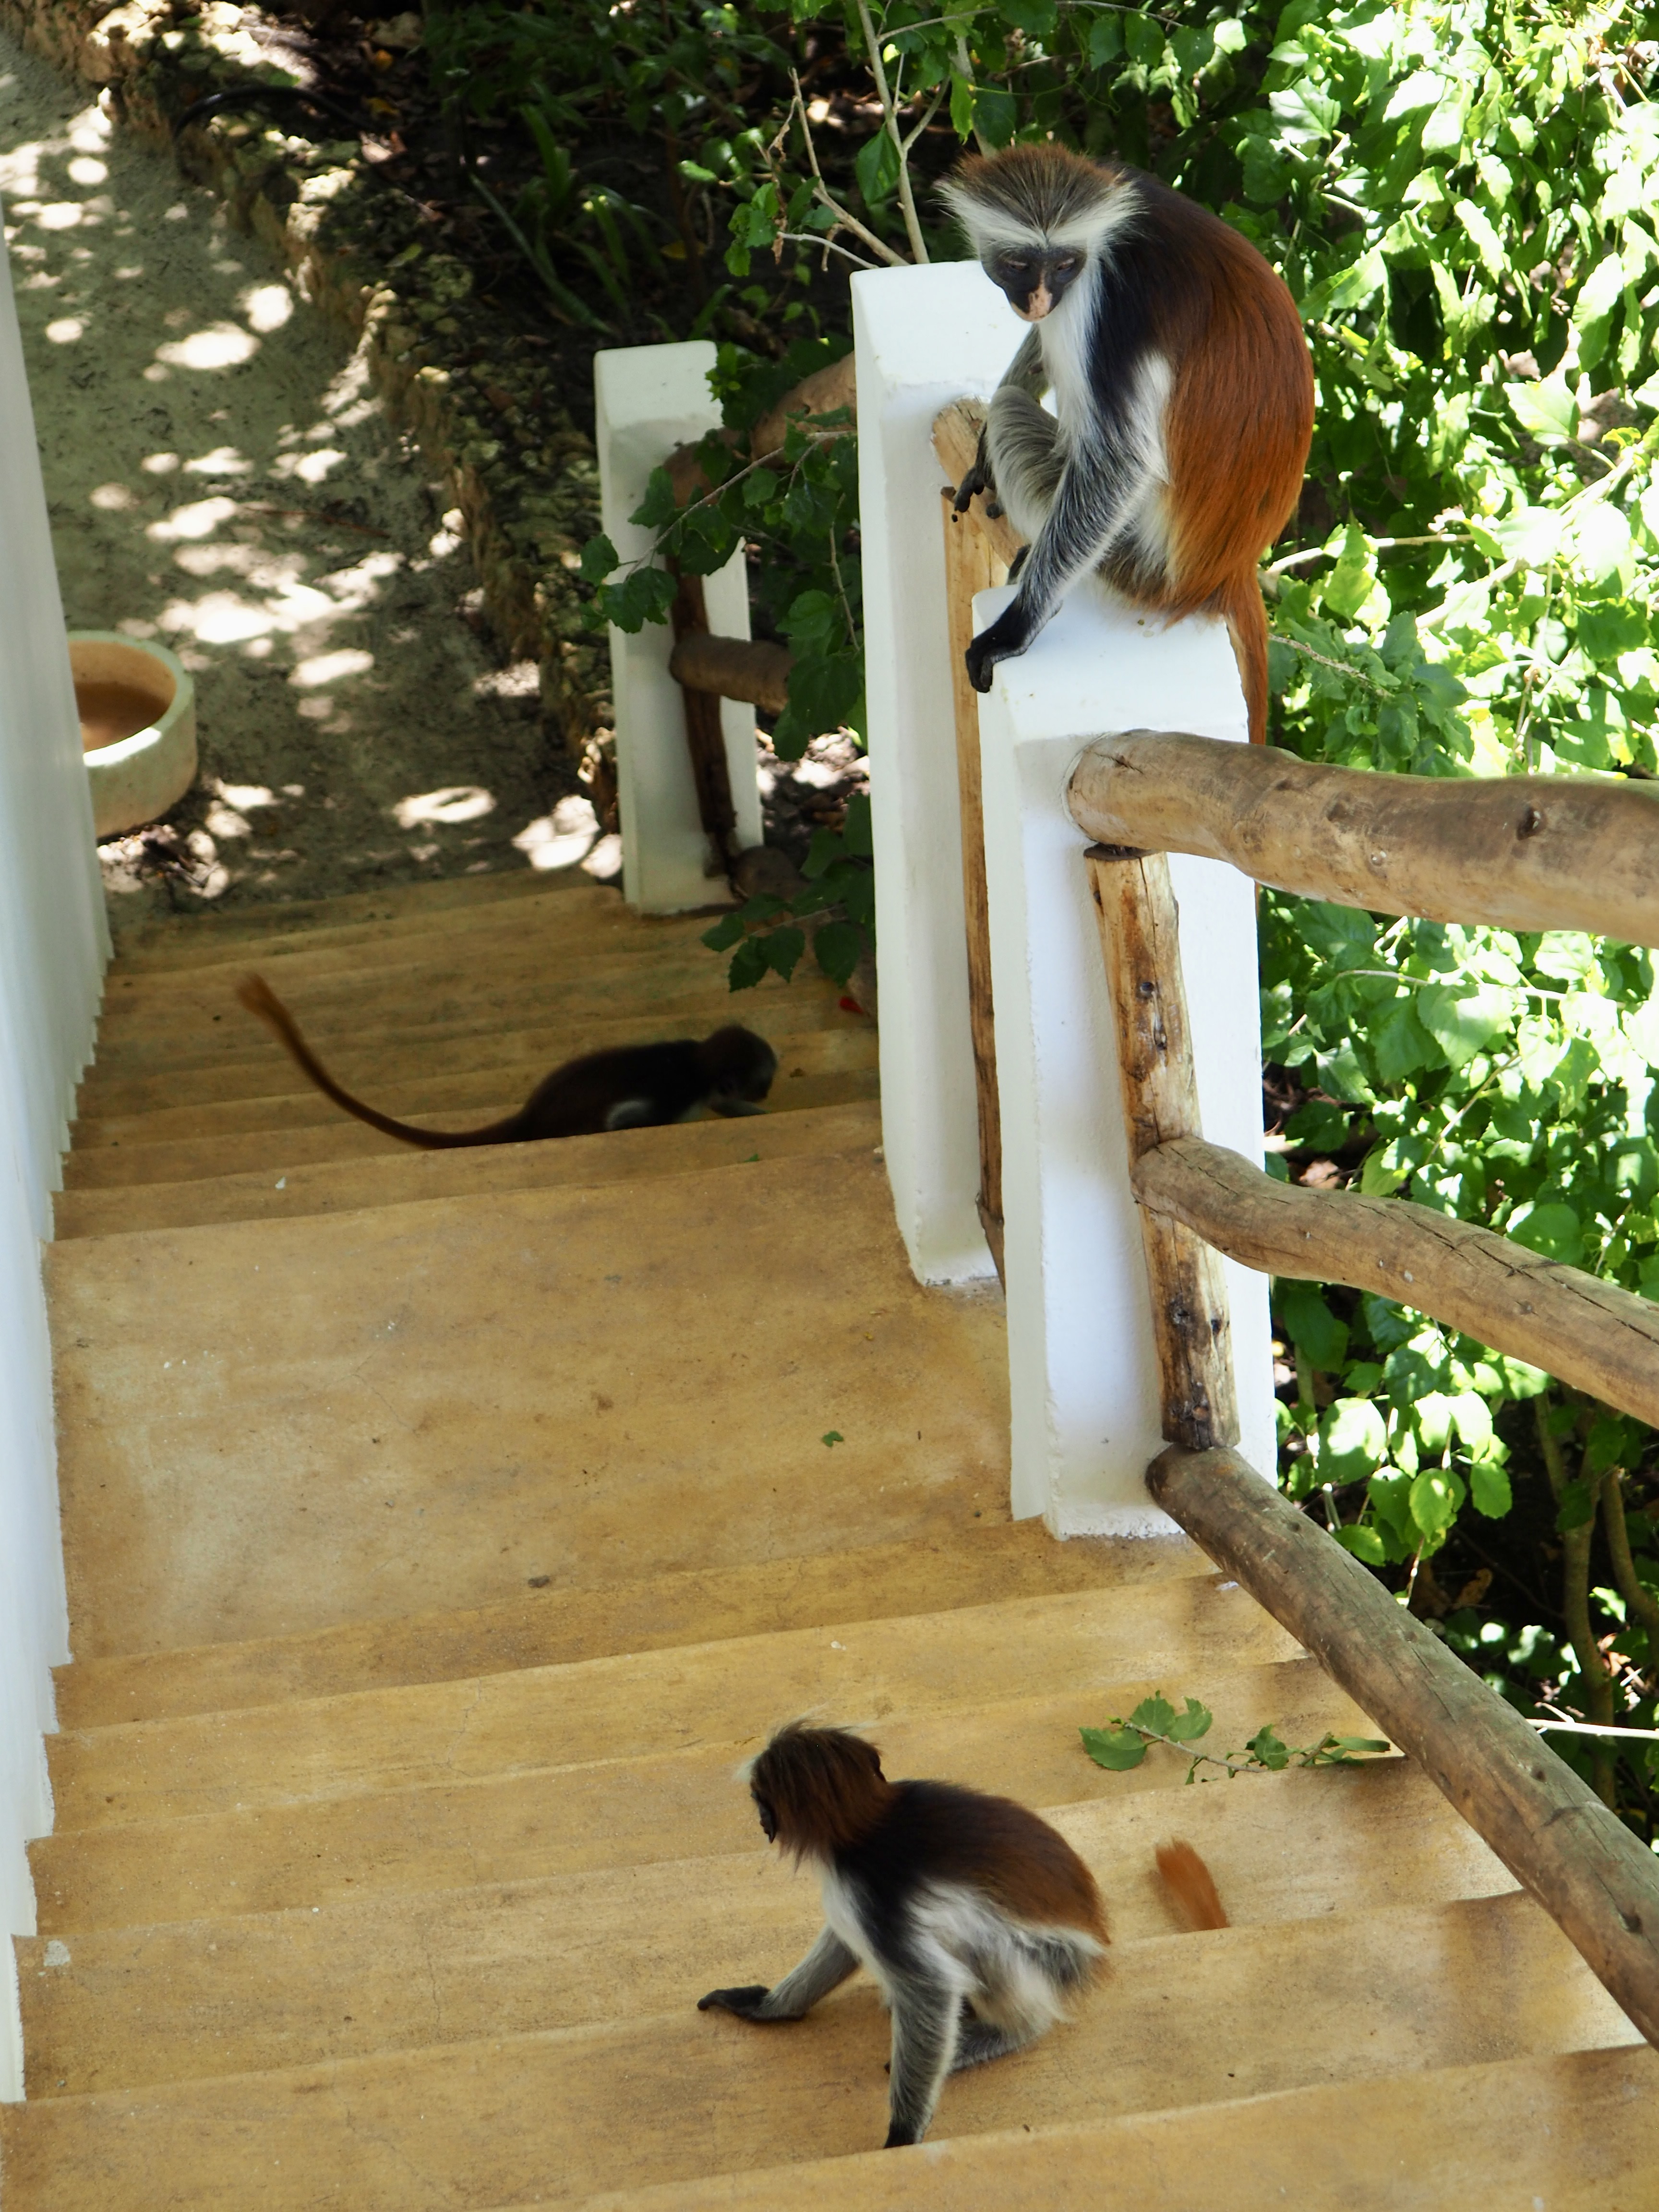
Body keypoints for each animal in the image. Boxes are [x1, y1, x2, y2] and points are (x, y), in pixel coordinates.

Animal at [694, 1725, 1110, 2141]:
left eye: (759, 1799)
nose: (762, 1820)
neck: (868, 1829)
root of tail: (1096, 1945)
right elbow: (844, 1942)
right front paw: (769, 2008)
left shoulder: (871, 1889)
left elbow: (932, 1988)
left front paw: (903, 2133)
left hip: (1053, 1957)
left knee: (983, 1947)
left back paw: (1012, 2031)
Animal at [942, 140, 1318, 743]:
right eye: (1020, 264)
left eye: (1064, 265)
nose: (1040, 300)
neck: (1110, 233)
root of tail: (1225, 573)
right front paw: (980, 456)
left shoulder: (1105, 305)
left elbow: (1121, 462)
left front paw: (1018, 626)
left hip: (1133, 560)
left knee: (1013, 419)